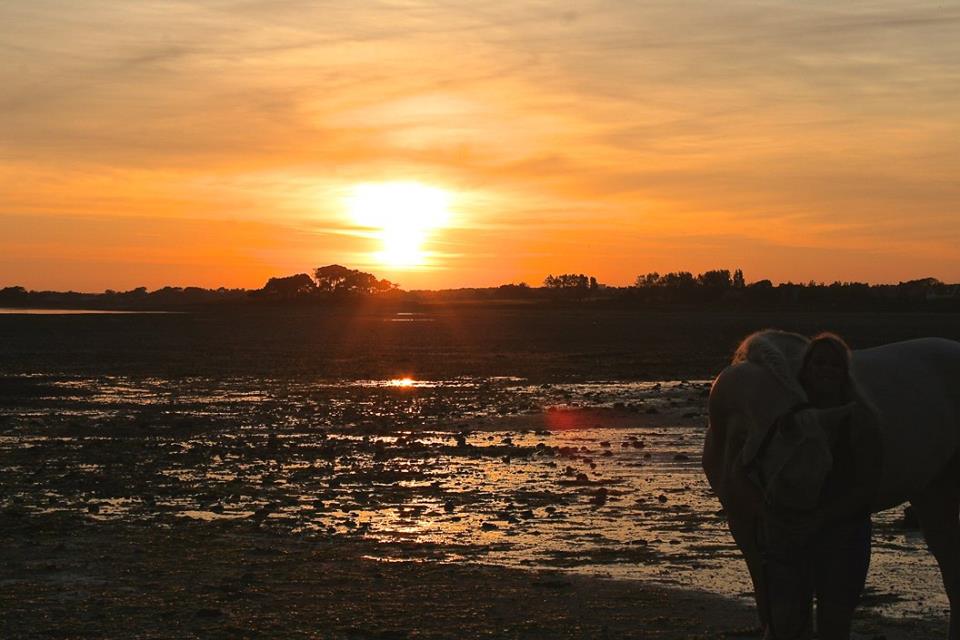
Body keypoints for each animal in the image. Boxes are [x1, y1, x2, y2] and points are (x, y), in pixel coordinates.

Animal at [700, 332, 960, 636]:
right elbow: (766, 602)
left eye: (827, 472)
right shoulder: (741, 522)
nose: (800, 543)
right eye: (785, 476)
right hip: (933, 493)